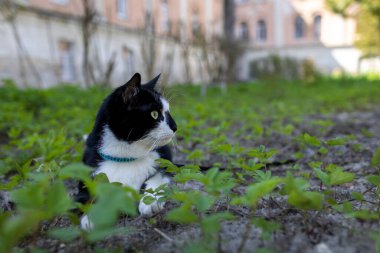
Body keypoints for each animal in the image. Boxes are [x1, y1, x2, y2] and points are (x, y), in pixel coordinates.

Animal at [79, 72, 177, 229]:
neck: (127, 158)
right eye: (154, 114)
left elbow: (158, 176)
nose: (175, 127)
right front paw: (90, 218)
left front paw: (150, 202)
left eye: (168, 111)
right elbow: (90, 196)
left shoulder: (164, 162)